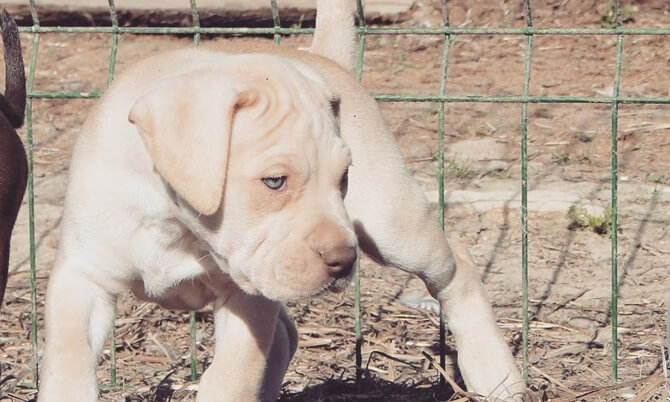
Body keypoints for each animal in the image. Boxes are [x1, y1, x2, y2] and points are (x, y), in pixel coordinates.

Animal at [38, 1, 532, 400]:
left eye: (343, 179)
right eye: (274, 181)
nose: (343, 261)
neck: (176, 225)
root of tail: (321, 57)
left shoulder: (248, 298)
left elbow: (232, 378)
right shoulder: (81, 279)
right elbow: (67, 366)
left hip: (395, 226)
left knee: (458, 267)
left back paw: (498, 379)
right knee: (287, 336)